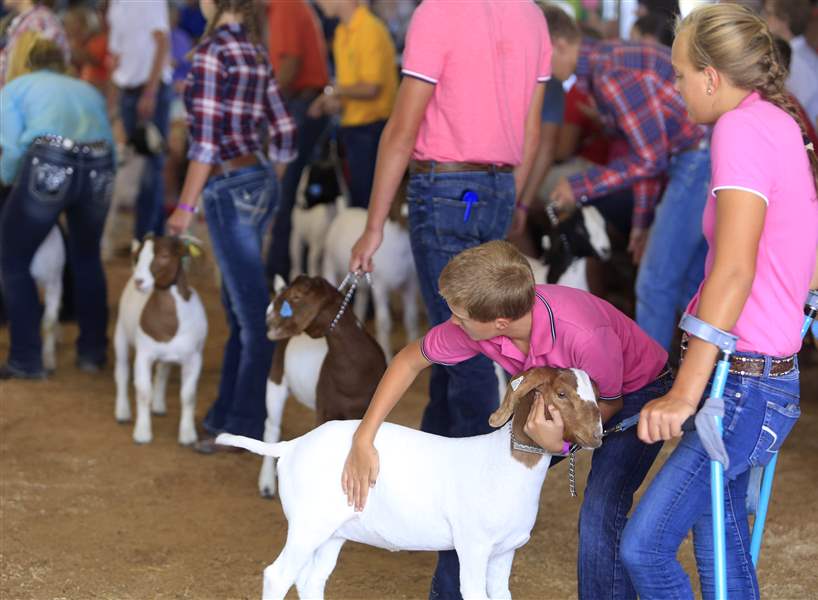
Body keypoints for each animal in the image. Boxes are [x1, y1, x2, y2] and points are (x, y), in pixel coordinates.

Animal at [112, 236, 207, 446]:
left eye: (164, 255)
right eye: (138, 257)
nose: (139, 281)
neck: (169, 326)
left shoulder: (194, 358)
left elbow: (188, 396)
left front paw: (187, 435)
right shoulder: (143, 355)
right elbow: (142, 391)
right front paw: (142, 433)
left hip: (169, 355)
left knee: (162, 372)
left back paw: (158, 405)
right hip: (121, 334)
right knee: (121, 372)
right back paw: (122, 411)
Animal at [260, 276, 388, 496]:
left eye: (296, 296)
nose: (268, 316)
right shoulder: (325, 409)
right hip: (276, 379)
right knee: (272, 428)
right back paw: (267, 484)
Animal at [320, 210, 420, 360]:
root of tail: (345, 211)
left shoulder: (410, 284)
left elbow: (412, 319)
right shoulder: (379, 286)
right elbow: (384, 323)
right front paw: (388, 355)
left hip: (361, 285)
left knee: (360, 305)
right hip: (330, 265)